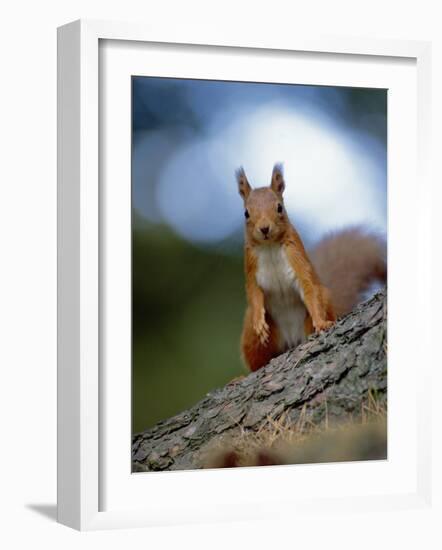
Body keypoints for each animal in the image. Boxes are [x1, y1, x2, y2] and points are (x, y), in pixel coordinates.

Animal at [237, 162, 386, 374]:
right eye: (246, 213)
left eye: (279, 207)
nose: (264, 229)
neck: (270, 246)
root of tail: (291, 340)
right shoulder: (250, 266)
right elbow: (254, 293)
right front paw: (259, 322)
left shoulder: (296, 257)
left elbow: (308, 286)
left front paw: (322, 323)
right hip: (252, 337)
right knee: (258, 362)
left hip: (317, 310)